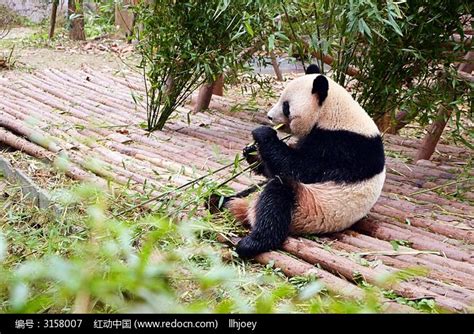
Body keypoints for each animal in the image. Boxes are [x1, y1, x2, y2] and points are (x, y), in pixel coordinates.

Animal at [218, 65, 386, 258]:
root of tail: (249, 208)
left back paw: (252, 243)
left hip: (308, 207)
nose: (269, 117)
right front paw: (251, 152)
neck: (334, 113)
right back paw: (218, 200)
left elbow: (300, 168)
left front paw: (263, 134)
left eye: (286, 106)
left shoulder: (344, 147)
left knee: (277, 198)